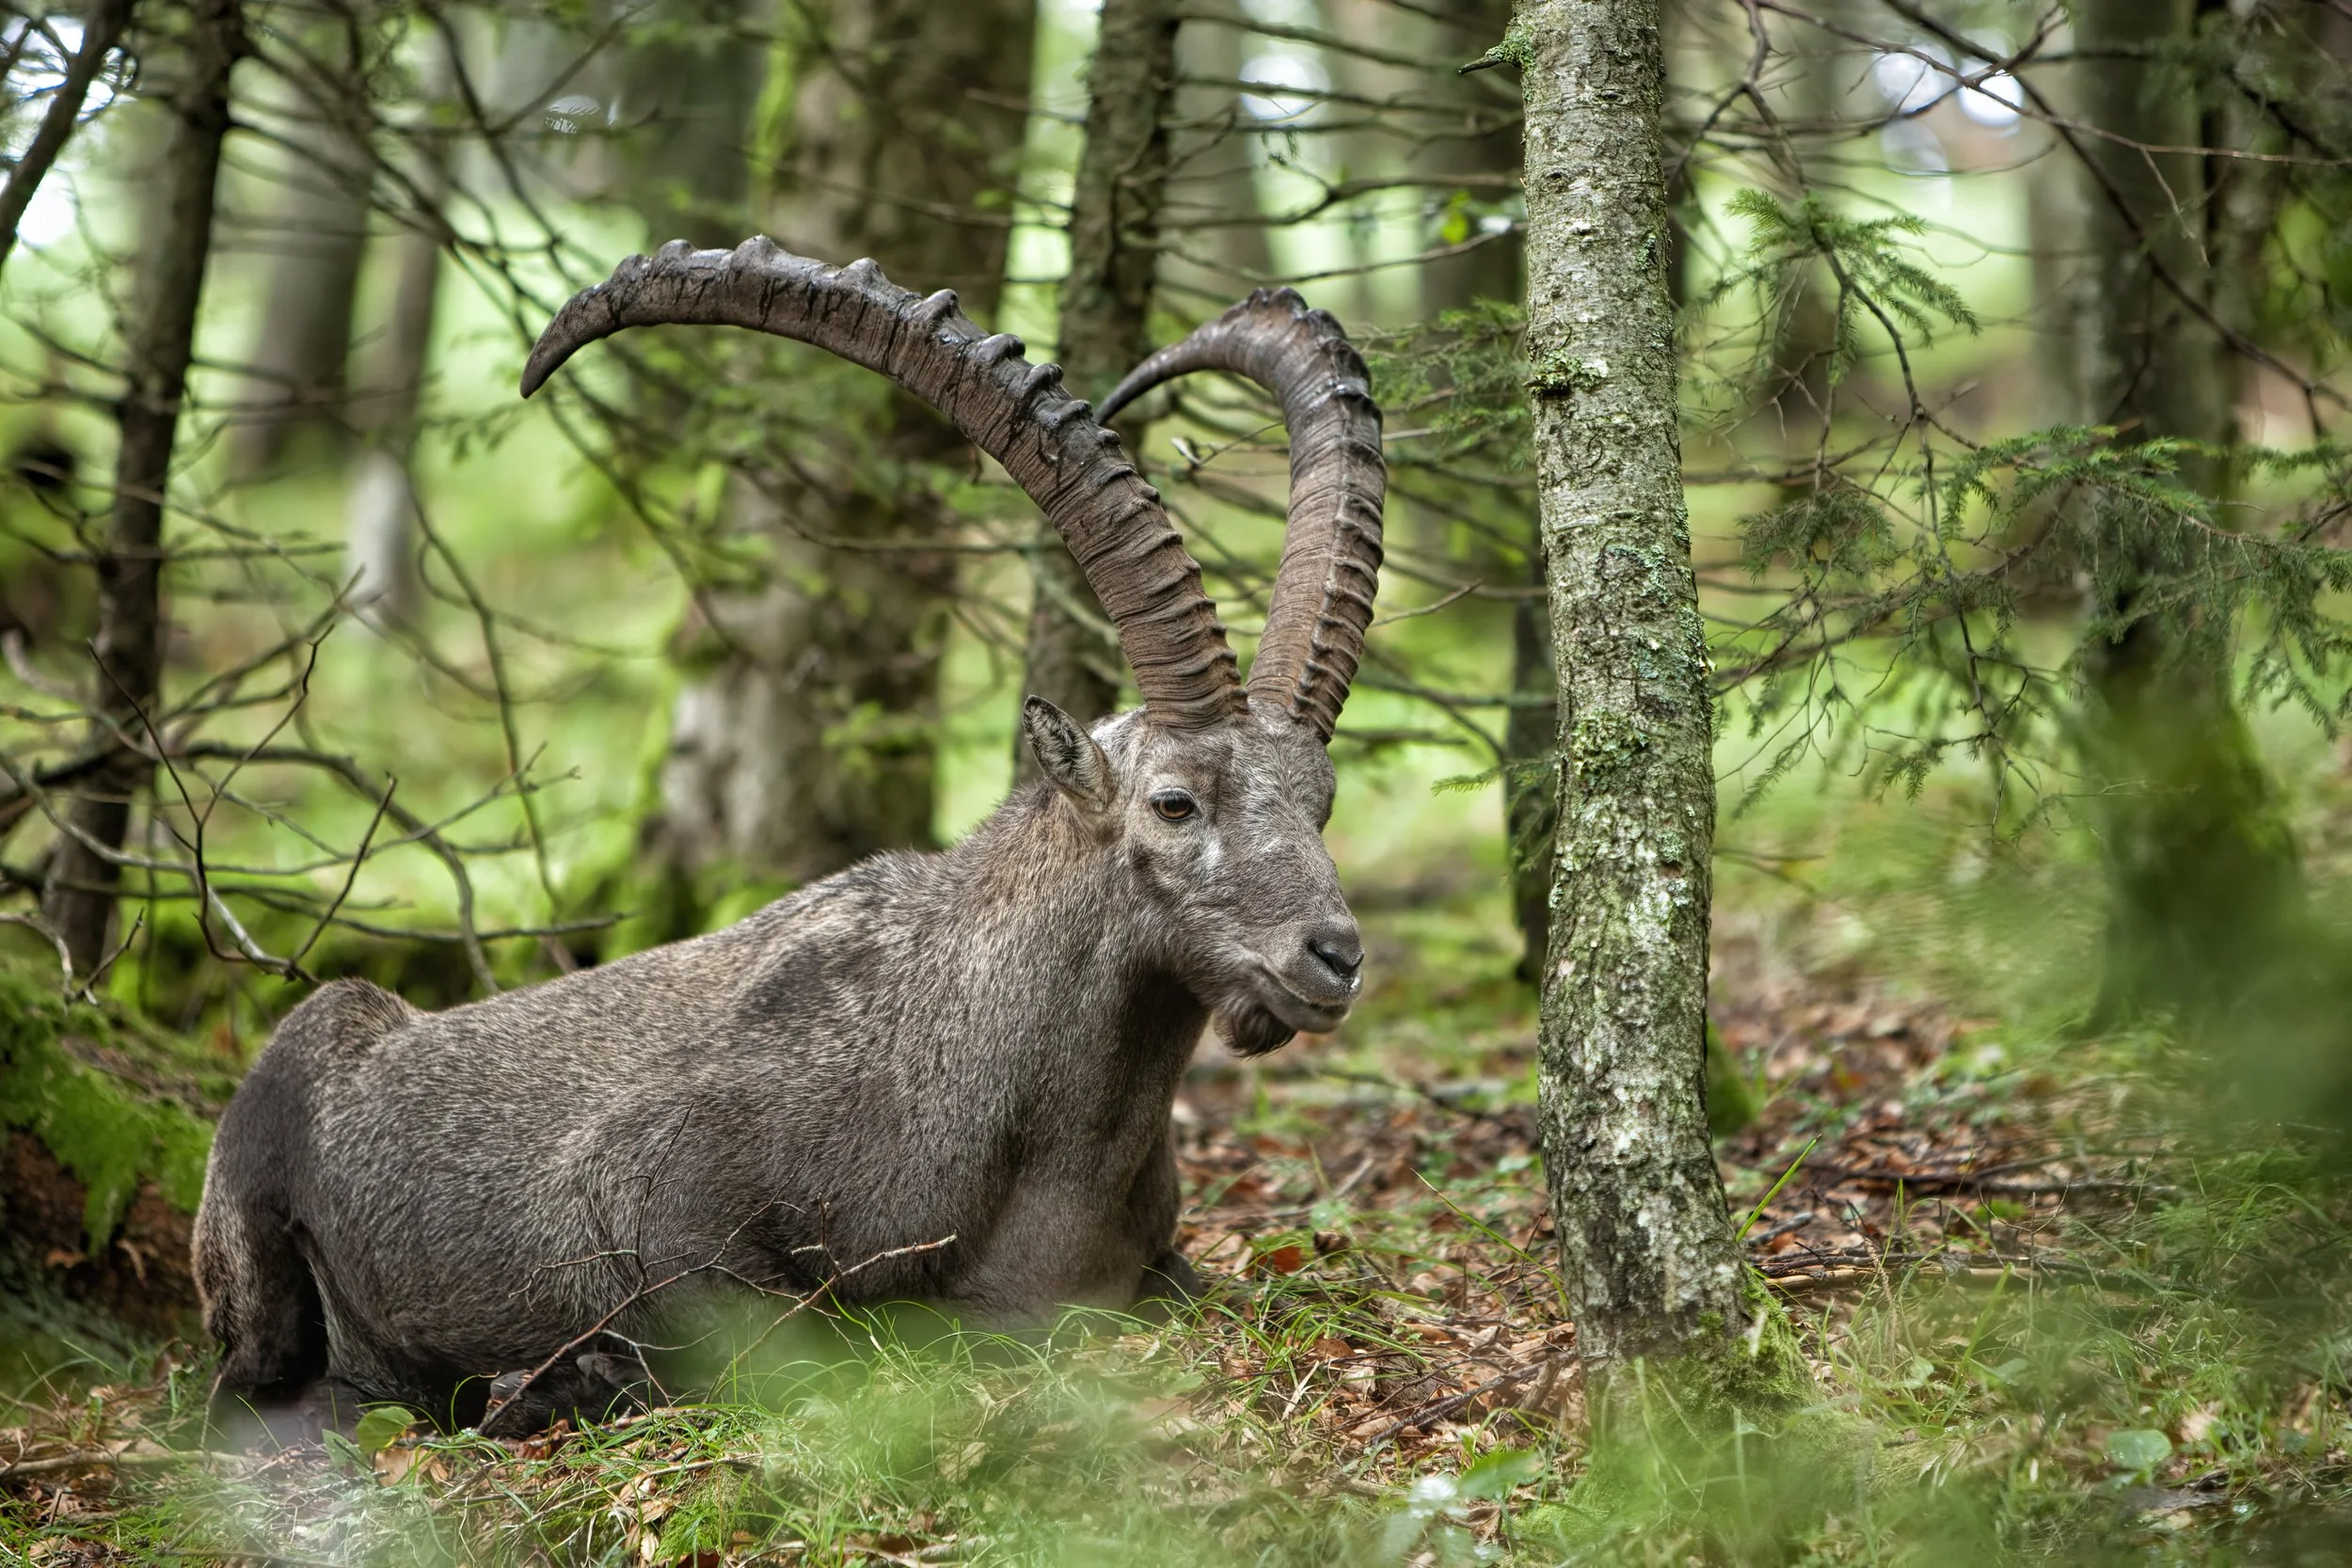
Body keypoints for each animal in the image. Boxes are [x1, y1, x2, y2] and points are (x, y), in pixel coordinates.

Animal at [191, 237, 1385, 1436]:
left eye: (1322, 799)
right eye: (1174, 800)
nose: (1335, 956)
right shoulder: (648, 1204)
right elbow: (811, 1342)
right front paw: (561, 1376)